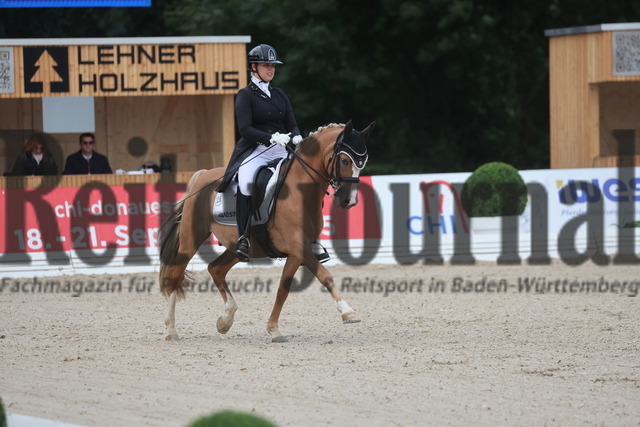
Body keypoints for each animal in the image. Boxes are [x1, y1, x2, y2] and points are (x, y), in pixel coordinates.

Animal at [159, 120, 376, 342]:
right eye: (344, 160)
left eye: (363, 162)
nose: (349, 201)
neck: (300, 191)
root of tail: (202, 174)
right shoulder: (298, 247)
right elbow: (325, 276)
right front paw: (348, 312)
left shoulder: (297, 252)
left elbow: (283, 289)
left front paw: (274, 330)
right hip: (191, 238)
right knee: (175, 276)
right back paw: (171, 330)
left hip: (241, 247)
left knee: (215, 269)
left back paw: (225, 320)